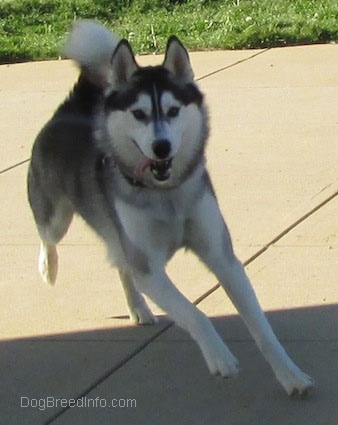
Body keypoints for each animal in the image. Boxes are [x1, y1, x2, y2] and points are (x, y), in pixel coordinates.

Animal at [27, 19, 314, 396]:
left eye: (174, 111)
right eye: (139, 114)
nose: (161, 147)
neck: (167, 195)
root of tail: (69, 111)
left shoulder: (223, 257)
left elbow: (262, 327)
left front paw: (290, 375)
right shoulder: (150, 269)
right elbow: (194, 313)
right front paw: (220, 357)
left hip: (116, 235)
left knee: (121, 265)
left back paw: (137, 307)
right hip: (58, 218)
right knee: (49, 238)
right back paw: (49, 268)